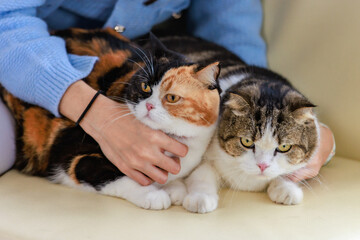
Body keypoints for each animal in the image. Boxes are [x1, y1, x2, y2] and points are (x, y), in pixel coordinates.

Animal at [0, 29, 221, 211]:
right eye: (145, 86)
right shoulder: (75, 157)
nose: (149, 106)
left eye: (172, 97)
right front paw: (154, 195)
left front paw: (175, 188)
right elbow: (117, 178)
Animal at [156, 35, 320, 212]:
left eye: (284, 147)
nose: (262, 166)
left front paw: (286, 188)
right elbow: (202, 173)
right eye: (246, 141)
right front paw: (200, 198)